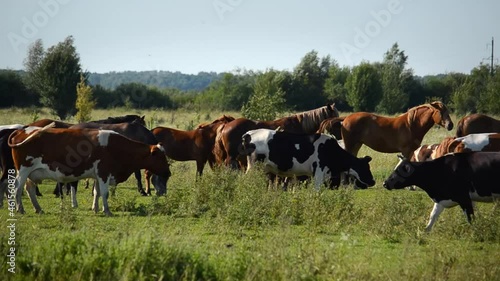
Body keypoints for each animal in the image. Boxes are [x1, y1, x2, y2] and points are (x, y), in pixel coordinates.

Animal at [7, 122, 171, 214]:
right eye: (160, 157)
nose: (168, 172)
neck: (117, 147)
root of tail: (22, 130)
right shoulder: (104, 173)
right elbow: (104, 193)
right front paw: (107, 211)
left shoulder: (98, 175)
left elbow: (96, 192)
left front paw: (96, 208)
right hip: (23, 170)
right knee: (17, 188)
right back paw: (20, 209)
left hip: (31, 174)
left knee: (29, 189)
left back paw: (38, 209)